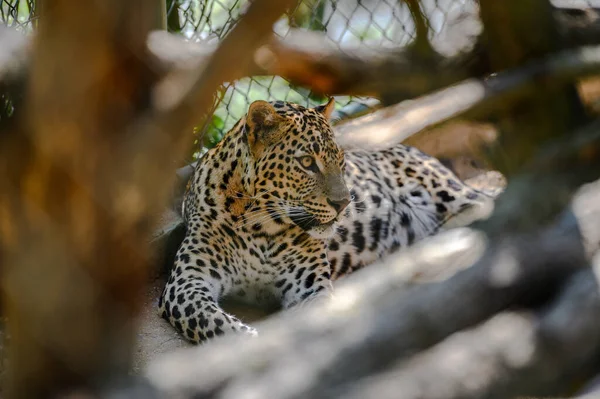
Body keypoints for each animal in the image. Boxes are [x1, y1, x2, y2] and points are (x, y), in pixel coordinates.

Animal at [157, 97, 494, 344]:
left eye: (341, 162)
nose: (344, 203)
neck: (260, 225)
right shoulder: (186, 282)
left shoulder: (309, 286)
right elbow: (214, 323)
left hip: (452, 193)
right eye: (307, 162)